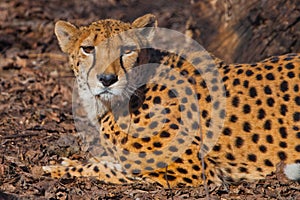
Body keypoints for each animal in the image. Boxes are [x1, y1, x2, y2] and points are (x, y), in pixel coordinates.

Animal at [42, 14, 300, 188]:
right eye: (88, 49)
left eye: (127, 50)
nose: (107, 79)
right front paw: (65, 163)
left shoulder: (193, 170)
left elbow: (105, 168)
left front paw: (54, 169)